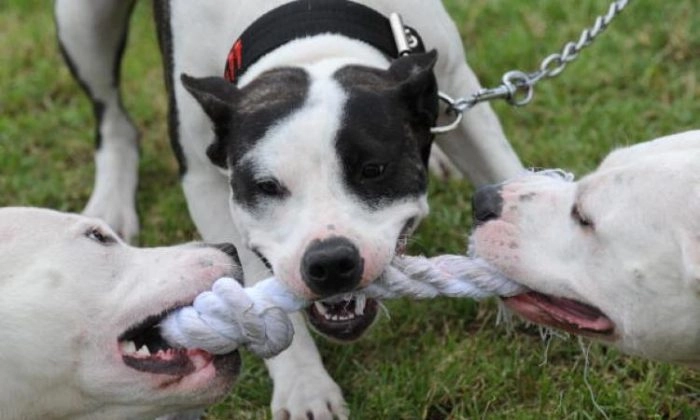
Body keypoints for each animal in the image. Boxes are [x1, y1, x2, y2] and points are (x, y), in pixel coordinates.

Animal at [54, 0, 524, 416]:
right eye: (266, 186)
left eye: (373, 169)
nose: (330, 262)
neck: (308, 27)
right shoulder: (205, 181)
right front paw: (306, 387)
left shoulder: (458, 90)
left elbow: (506, 171)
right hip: (81, 20)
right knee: (112, 117)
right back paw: (111, 201)